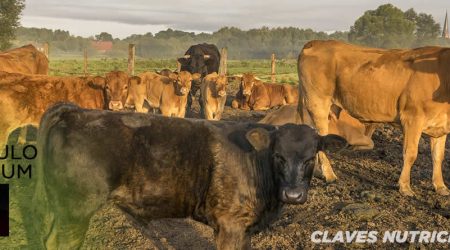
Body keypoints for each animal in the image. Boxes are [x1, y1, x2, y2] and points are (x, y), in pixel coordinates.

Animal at [33, 102, 346, 249]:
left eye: (311, 157)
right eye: (278, 155)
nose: (293, 194)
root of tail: (74, 111)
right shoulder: (230, 225)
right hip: (75, 211)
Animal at [298, 39, 450, 195]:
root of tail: (317, 42)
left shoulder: (440, 126)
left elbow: (438, 156)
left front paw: (440, 187)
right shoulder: (412, 118)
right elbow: (411, 153)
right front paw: (405, 187)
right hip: (318, 104)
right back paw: (329, 175)